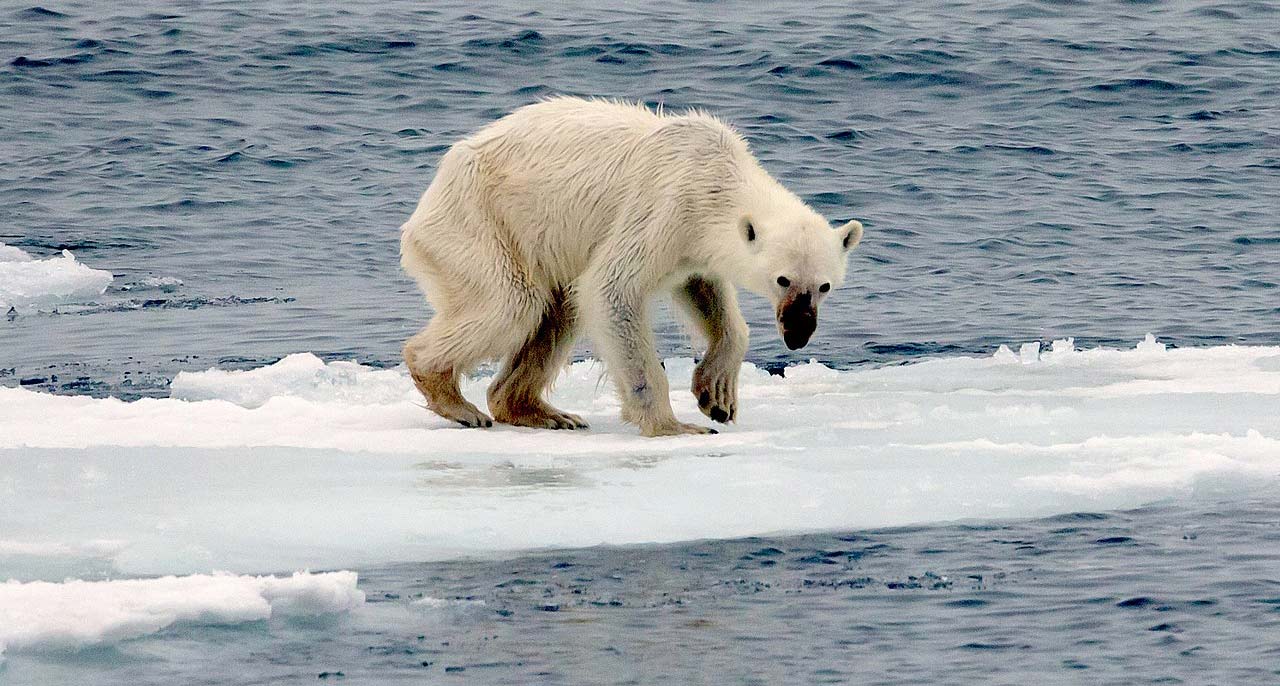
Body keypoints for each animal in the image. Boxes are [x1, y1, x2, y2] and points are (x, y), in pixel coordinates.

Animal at [400, 97, 863, 437]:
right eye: (783, 279)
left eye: (824, 286)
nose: (798, 333)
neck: (715, 177)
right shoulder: (663, 206)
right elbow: (612, 289)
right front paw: (674, 425)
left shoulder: (691, 244)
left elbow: (706, 293)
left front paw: (717, 395)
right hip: (481, 223)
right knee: (513, 303)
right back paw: (455, 399)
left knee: (557, 311)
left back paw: (543, 412)